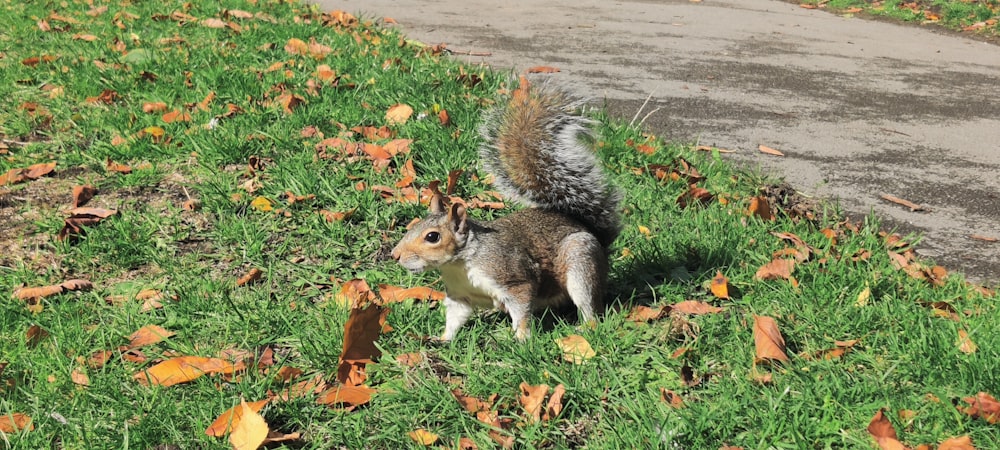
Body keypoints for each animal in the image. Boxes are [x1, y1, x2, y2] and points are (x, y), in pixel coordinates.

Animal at [390, 78, 616, 342]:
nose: (395, 255)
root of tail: (598, 240)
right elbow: (455, 318)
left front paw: (521, 338)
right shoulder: (459, 295)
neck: (461, 263)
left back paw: (585, 327)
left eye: (432, 237)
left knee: (588, 304)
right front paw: (442, 339)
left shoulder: (513, 277)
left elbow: (522, 306)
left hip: (581, 263)